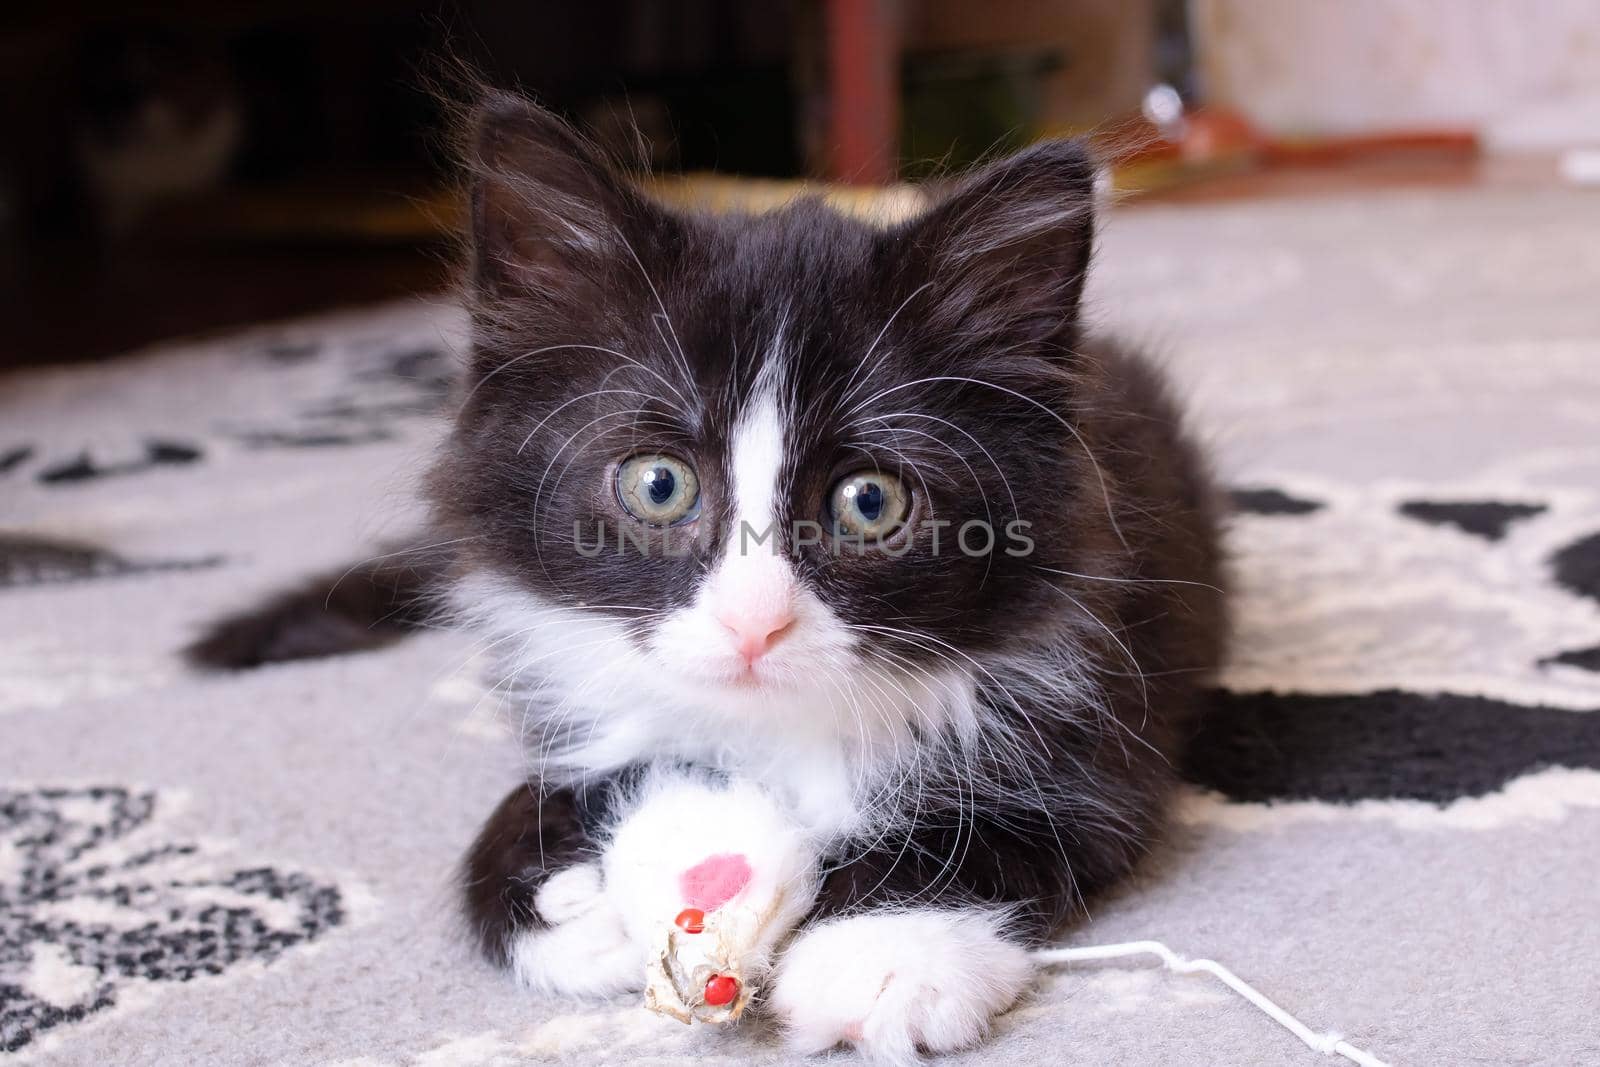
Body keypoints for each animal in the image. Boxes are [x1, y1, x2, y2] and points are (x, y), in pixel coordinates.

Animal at [190, 91, 1222, 1062]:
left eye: (871, 503)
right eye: (659, 484)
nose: (752, 623)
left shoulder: (1103, 708)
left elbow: (1009, 832)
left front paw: (884, 948)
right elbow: (539, 784)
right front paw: (564, 899)